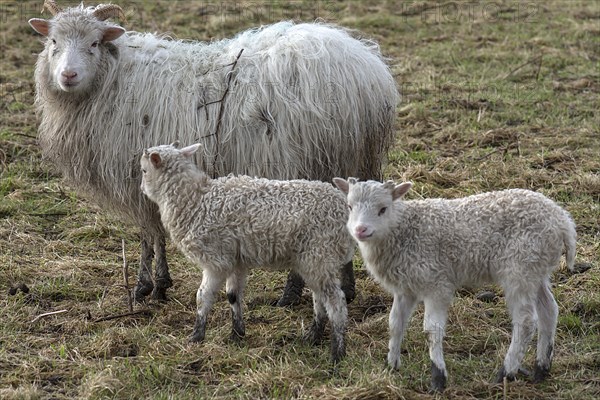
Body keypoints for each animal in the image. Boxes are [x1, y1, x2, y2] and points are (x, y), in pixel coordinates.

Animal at [28, 0, 398, 304]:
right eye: (53, 42)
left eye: (94, 43)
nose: (68, 75)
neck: (113, 78)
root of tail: (369, 70)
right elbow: (155, 232)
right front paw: (159, 284)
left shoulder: (137, 174)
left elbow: (149, 234)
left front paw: (147, 286)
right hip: (347, 158)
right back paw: (346, 290)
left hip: (310, 158)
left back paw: (291, 294)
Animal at [139, 142, 356, 364]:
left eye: (144, 170)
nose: (141, 189)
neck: (196, 200)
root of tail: (344, 209)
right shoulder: (236, 260)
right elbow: (233, 295)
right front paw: (237, 334)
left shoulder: (216, 260)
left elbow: (203, 296)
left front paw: (196, 336)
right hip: (314, 261)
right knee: (319, 299)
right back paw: (313, 336)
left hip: (320, 254)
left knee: (336, 302)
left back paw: (337, 353)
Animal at [332, 177, 576, 390]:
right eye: (349, 206)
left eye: (383, 209)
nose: (360, 230)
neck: (404, 230)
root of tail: (563, 221)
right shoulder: (406, 288)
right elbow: (395, 323)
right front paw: (391, 365)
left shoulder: (437, 284)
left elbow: (432, 330)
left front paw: (438, 377)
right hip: (536, 270)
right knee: (549, 310)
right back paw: (541, 369)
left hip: (520, 268)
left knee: (525, 321)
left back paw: (506, 373)